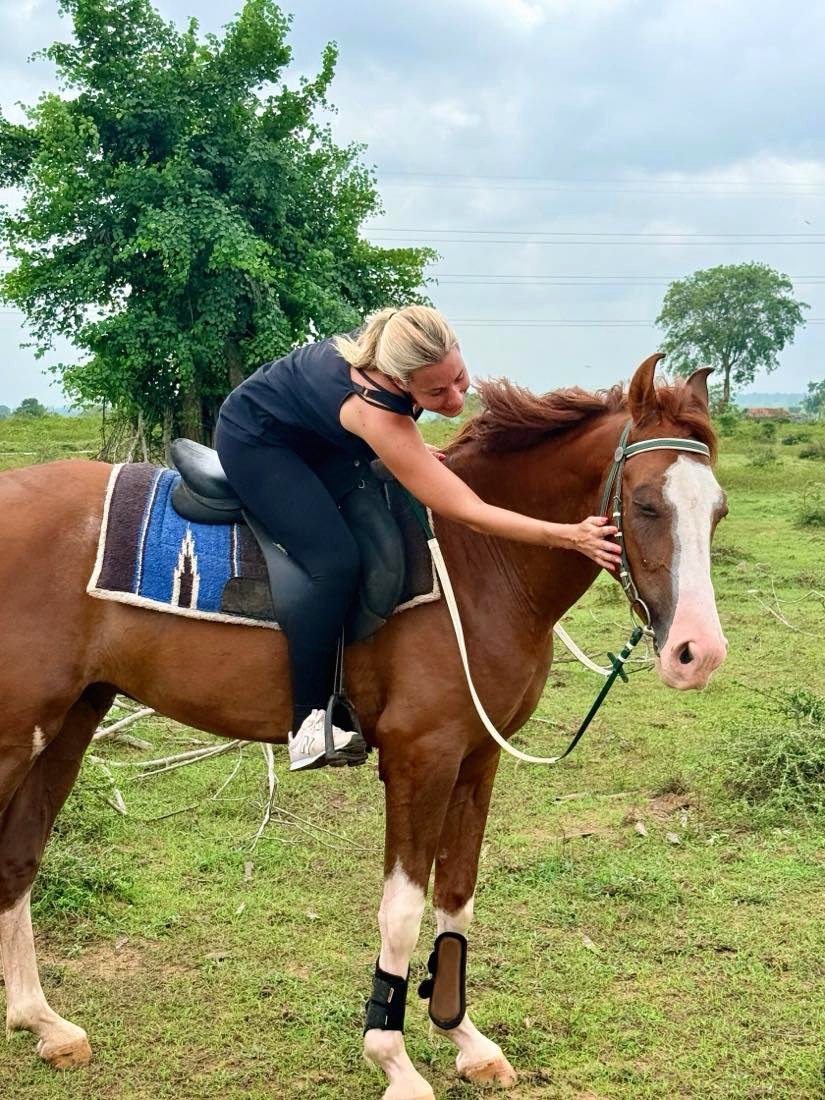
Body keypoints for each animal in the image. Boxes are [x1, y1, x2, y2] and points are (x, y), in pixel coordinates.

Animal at [0, 354, 727, 1099]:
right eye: (646, 504)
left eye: (718, 510)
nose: (696, 652)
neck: (478, 562)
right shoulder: (420, 758)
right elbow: (400, 911)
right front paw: (394, 1059)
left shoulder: (477, 759)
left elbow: (457, 895)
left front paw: (464, 1037)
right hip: (16, 733)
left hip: (68, 725)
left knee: (18, 859)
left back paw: (43, 1023)